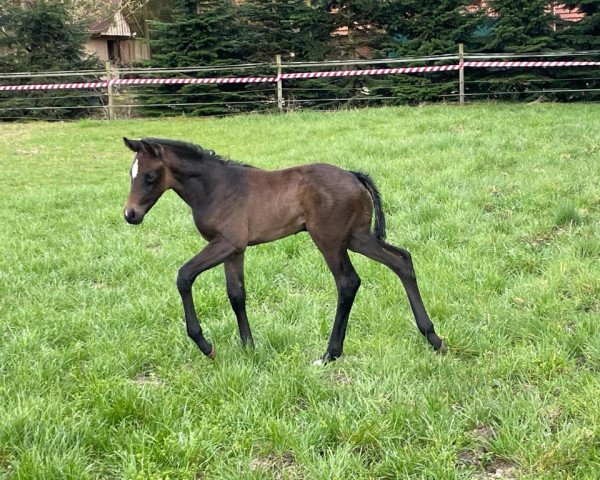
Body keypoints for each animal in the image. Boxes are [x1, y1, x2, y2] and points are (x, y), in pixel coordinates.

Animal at [123, 138, 446, 364]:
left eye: (150, 176)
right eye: (131, 174)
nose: (130, 214)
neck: (215, 187)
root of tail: (354, 176)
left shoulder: (226, 243)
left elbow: (184, 275)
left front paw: (206, 345)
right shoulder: (234, 250)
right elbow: (236, 294)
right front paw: (249, 348)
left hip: (329, 239)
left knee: (348, 282)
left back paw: (329, 354)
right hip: (356, 237)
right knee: (402, 260)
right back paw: (433, 337)